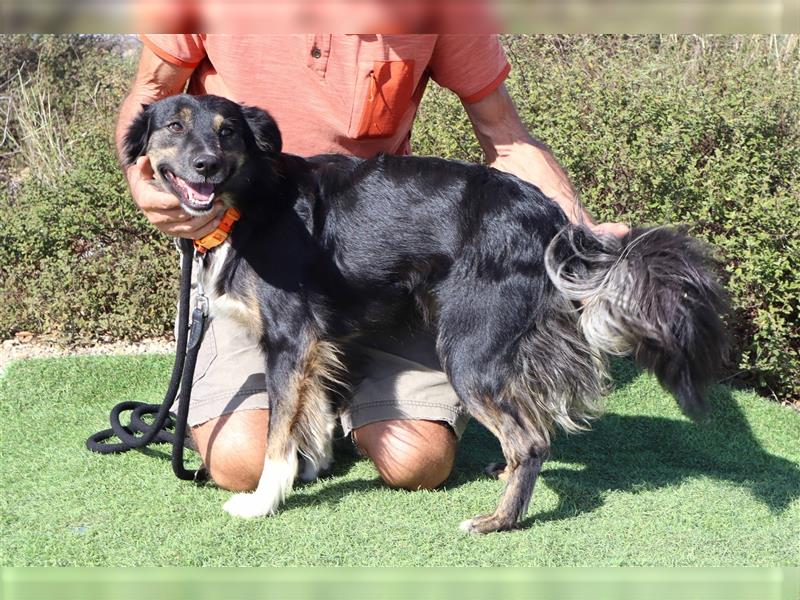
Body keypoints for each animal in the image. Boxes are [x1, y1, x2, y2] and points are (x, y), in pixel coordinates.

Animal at [125, 91, 732, 532]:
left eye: (227, 131)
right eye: (173, 127)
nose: (205, 165)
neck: (252, 202)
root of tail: (553, 221)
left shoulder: (290, 339)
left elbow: (277, 434)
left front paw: (265, 499)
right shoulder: (315, 345)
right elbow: (312, 414)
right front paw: (313, 467)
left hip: (467, 352)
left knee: (531, 440)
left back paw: (498, 520)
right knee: (528, 427)